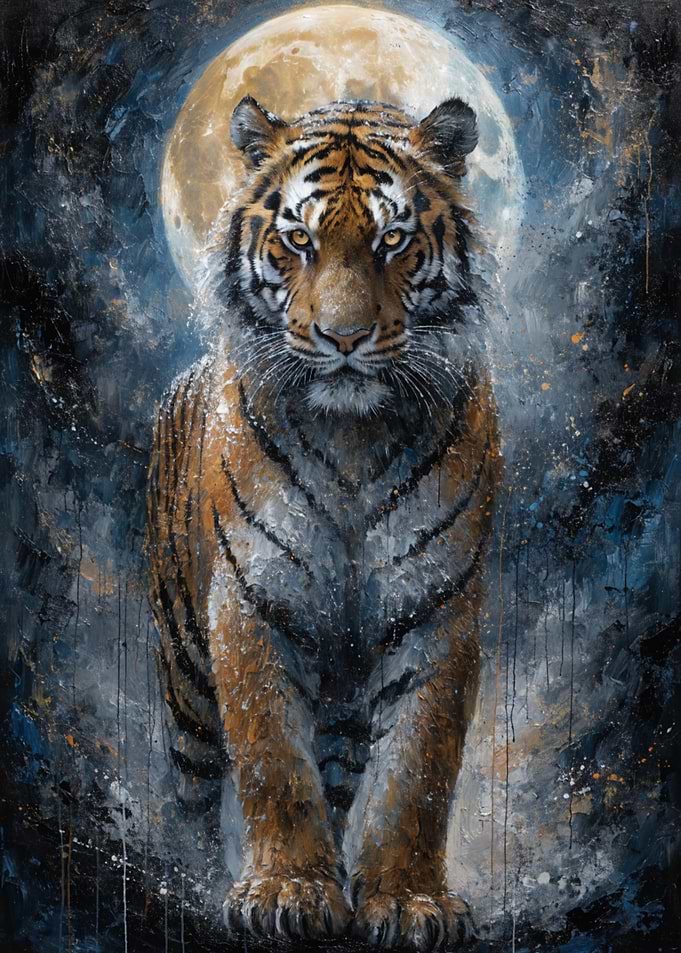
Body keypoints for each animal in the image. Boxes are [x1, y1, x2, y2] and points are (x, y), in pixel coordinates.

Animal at [147, 94, 501, 951]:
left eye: (392, 240)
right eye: (299, 239)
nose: (343, 339)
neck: (351, 441)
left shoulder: (439, 608)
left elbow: (416, 769)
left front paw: (406, 899)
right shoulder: (250, 600)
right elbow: (272, 759)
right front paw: (286, 890)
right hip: (183, 673)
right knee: (190, 786)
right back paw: (181, 873)